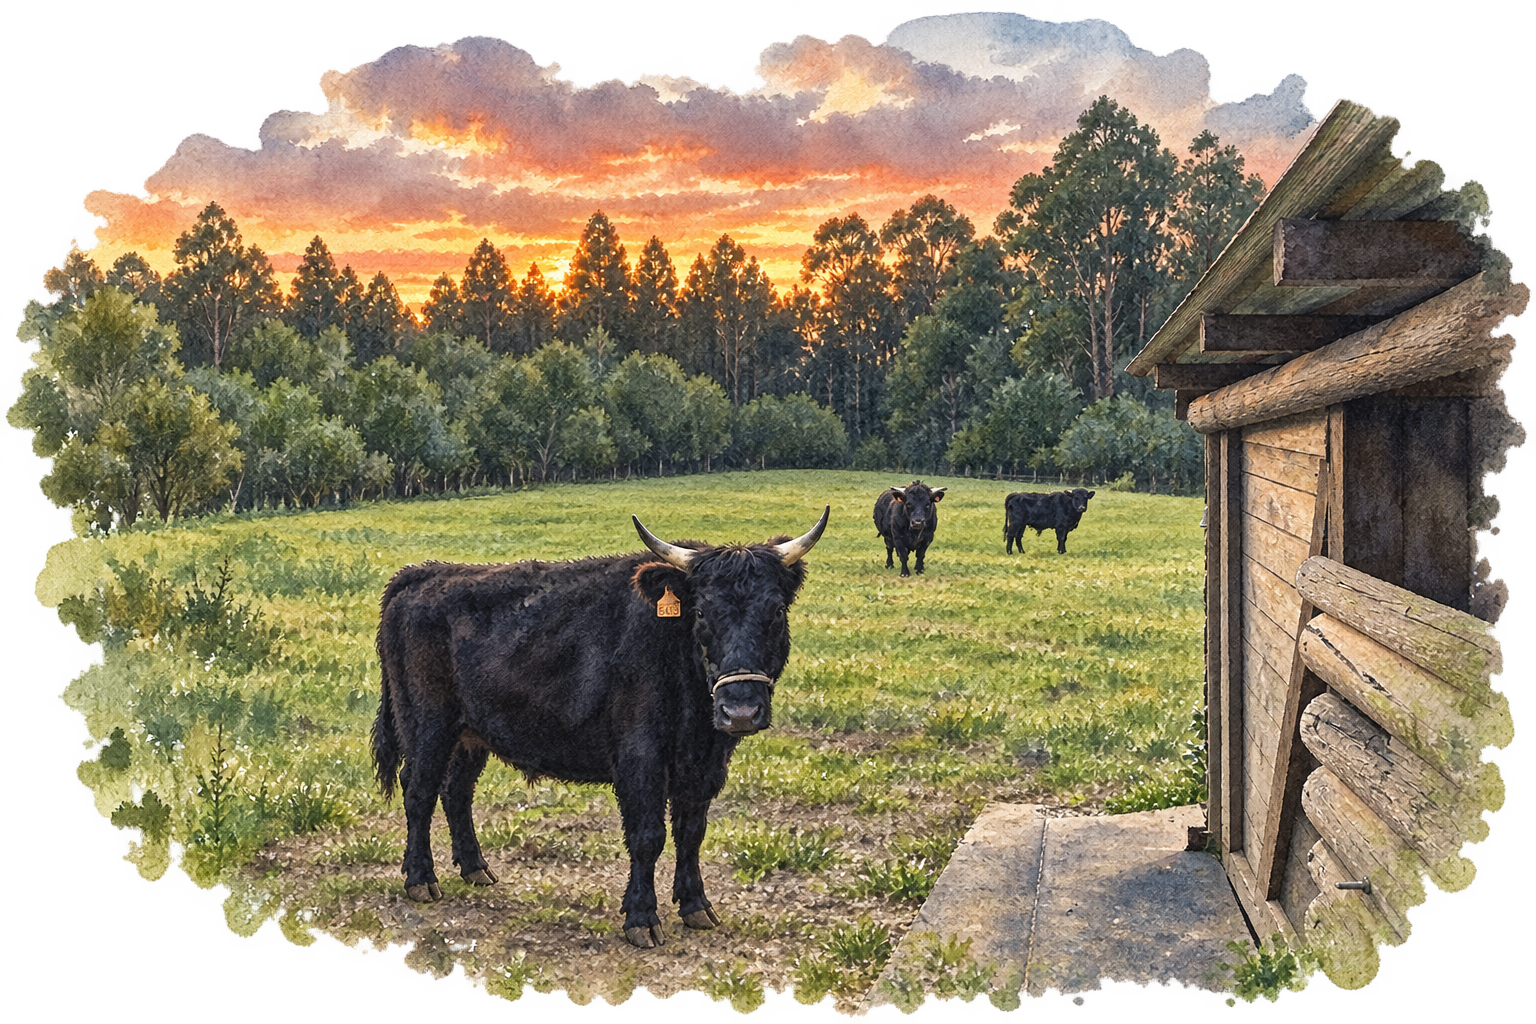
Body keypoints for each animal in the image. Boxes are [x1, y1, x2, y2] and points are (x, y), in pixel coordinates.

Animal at [371, 507, 829, 949]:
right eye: (701, 612)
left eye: (776, 611)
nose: (741, 711)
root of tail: (423, 574)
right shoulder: (639, 757)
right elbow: (648, 835)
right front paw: (642, 920)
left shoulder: (703, 766)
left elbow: (691, 832)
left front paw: (697, 906)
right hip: (427, 725)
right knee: (418, 791)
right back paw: (421, 881)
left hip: (472, 735)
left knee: (456, 791)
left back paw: (476, 869)